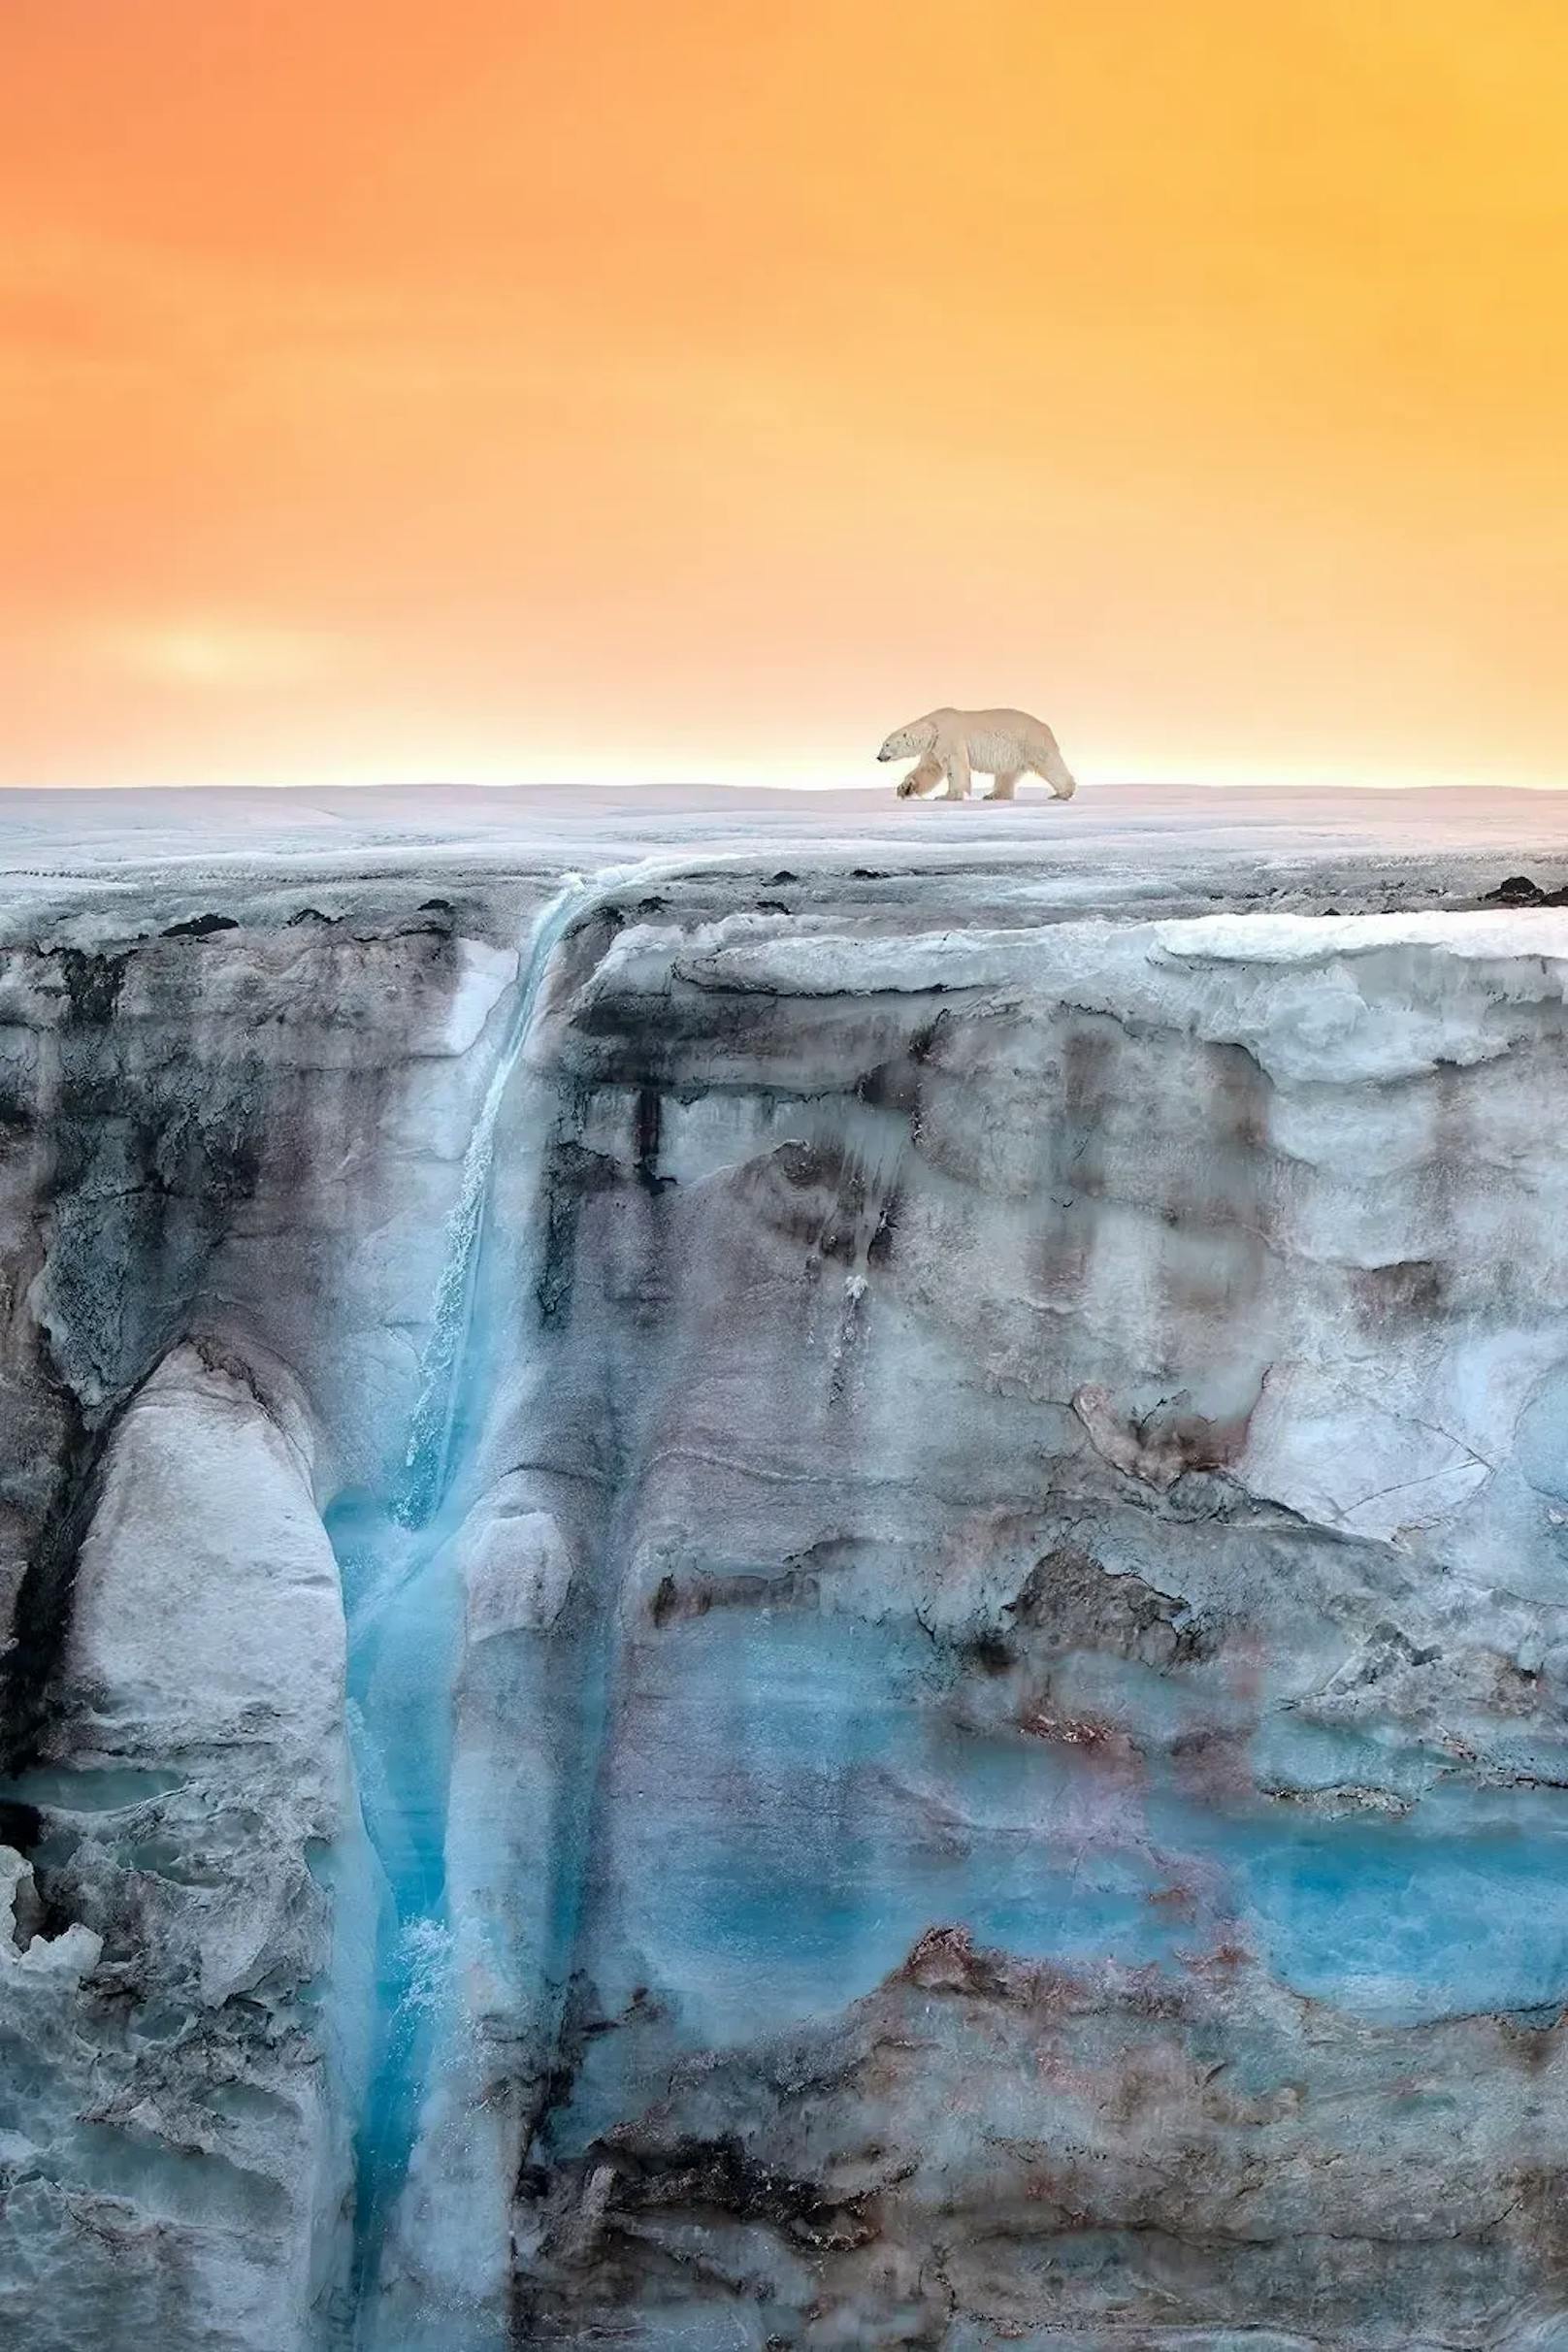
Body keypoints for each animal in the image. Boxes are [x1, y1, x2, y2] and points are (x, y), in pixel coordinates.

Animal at [879, 701, 1086, 804]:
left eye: (886, 744)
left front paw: (948, 796)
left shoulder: (949, 737)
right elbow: (928, 769)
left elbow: (955, 766)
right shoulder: (934, 747)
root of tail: (1046, 726)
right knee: (1006, 774)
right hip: (1013, 753)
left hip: (1031, 742)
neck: (932, 727)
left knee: (1049, 764)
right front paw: (904, 788)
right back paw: (993, 795)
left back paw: (1062, 793)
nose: (879, 757)